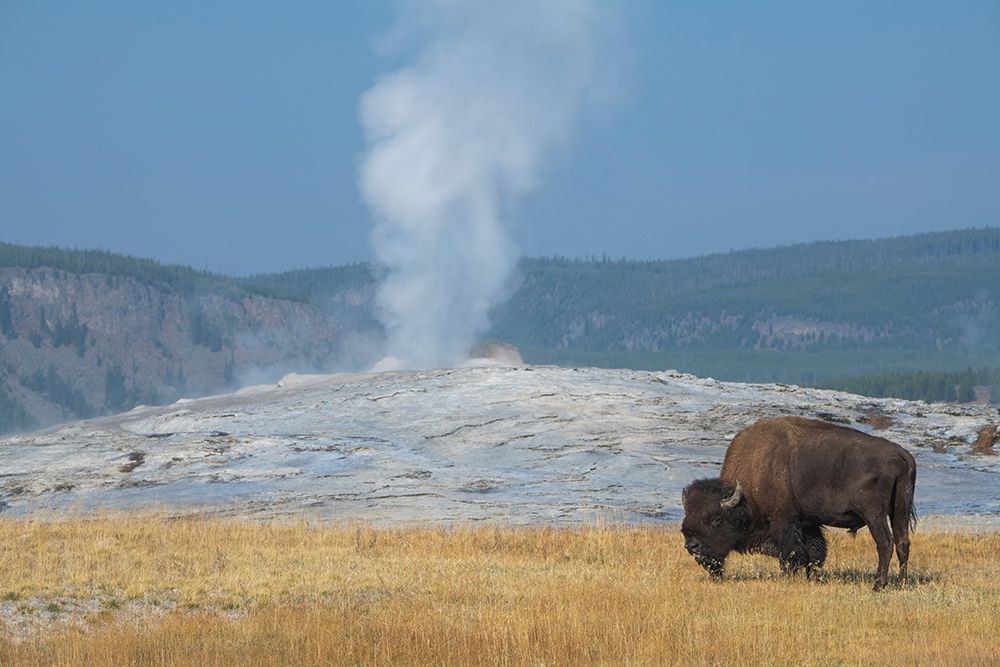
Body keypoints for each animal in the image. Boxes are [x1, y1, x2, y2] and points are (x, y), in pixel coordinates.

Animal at [680, 414, 916, 592]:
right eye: (686, 518)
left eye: (715, 519)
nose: (692, 546)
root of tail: (901, 453)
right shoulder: (809, 523)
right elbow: (814, 552)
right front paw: (813, 578)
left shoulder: (783, 522)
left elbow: (791, 553)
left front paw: (789, 577)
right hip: (899, 510)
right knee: (903, 542)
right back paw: (901, 583)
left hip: (874, 514)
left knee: (885, 542)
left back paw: (878, 585)